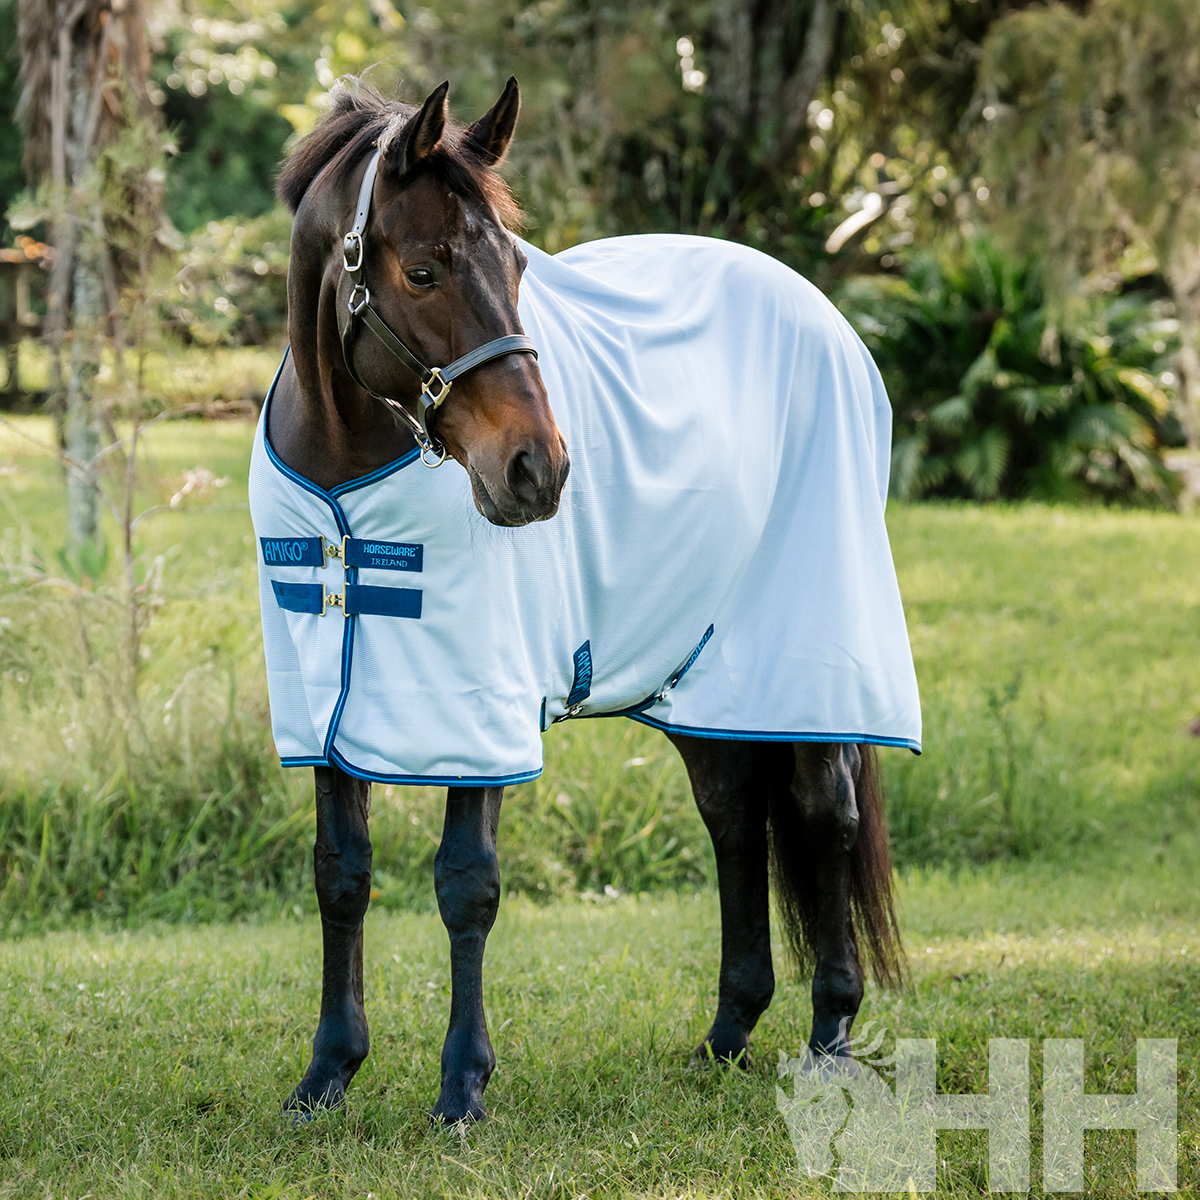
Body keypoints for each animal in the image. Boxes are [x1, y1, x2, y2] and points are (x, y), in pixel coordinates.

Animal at [256, 76, 920, 1125]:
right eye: (422, 270)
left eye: (517, 267)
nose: (539, 469)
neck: (344, 475)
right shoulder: (327, 708)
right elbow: (341, 877)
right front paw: (327, 1072)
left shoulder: (479, 708)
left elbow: (467, 886)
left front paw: (463, 1085)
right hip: (705, 677)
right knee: (735, 814)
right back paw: (728, 1034)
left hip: (808, 654)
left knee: (825, 813)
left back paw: (830, 1039)